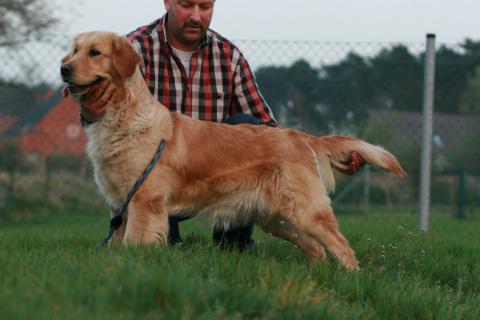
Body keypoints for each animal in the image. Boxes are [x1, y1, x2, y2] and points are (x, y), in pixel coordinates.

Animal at [60, 31, 404, 270]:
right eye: (74, 50)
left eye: (94, 52)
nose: (63, 68)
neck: (122, 115)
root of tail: (300, 136)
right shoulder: (120, 203)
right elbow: (117, 241)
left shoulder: (145, 201)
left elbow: (135, 241)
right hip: (278, 219)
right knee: (317, 249)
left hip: (305, 211)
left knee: (340, 245)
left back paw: (351, 277)